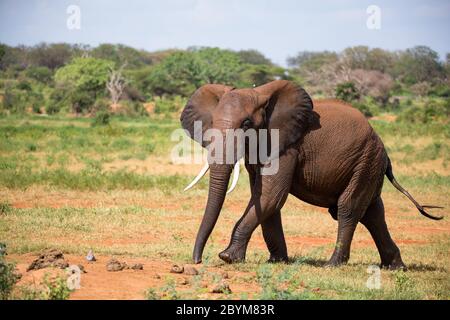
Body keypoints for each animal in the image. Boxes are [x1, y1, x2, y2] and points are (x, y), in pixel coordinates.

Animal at [180, 80, 442, 270]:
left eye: (246, 123)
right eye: (211, 123)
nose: (198, 260)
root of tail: (384, 152)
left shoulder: (287, 145)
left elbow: (271, 196)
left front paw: (227, 257)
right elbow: (265, 199)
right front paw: (277, 262)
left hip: (366, 160)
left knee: (348, 209)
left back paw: (332, 265)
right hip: (368, 164)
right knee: (372, 212)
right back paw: (396, 267)